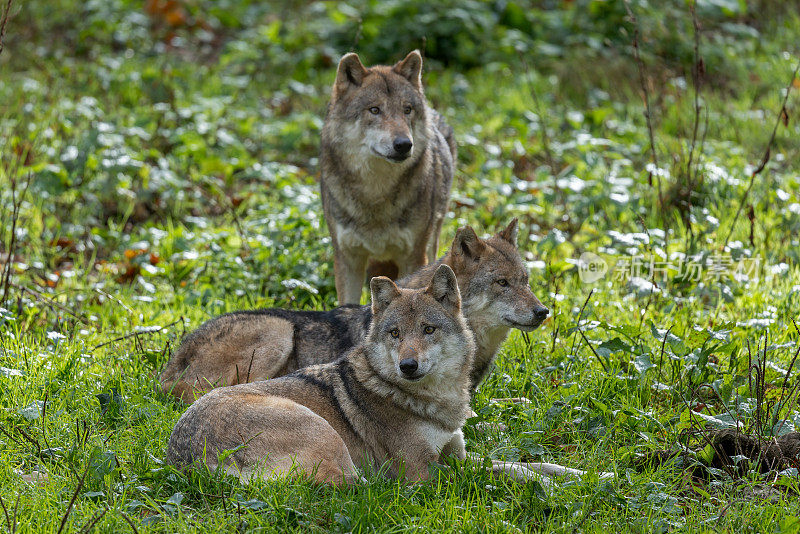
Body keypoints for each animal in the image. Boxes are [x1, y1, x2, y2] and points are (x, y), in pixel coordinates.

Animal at [164, 266, 476, 488]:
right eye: (395, 333)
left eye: (428, 329)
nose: (407, 366)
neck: (435, 398)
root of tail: (188, 461)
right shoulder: (420, 471)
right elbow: (471, 478)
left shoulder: (458, 453)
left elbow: (483, 463)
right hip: (319, 422)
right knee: (358, 484)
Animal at [320, 50, 456, 306]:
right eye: (374, 110)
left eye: (407, 110)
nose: (404, 144)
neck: (376, 193)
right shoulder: (347, 259)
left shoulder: (414, 257)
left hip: (432, 238)